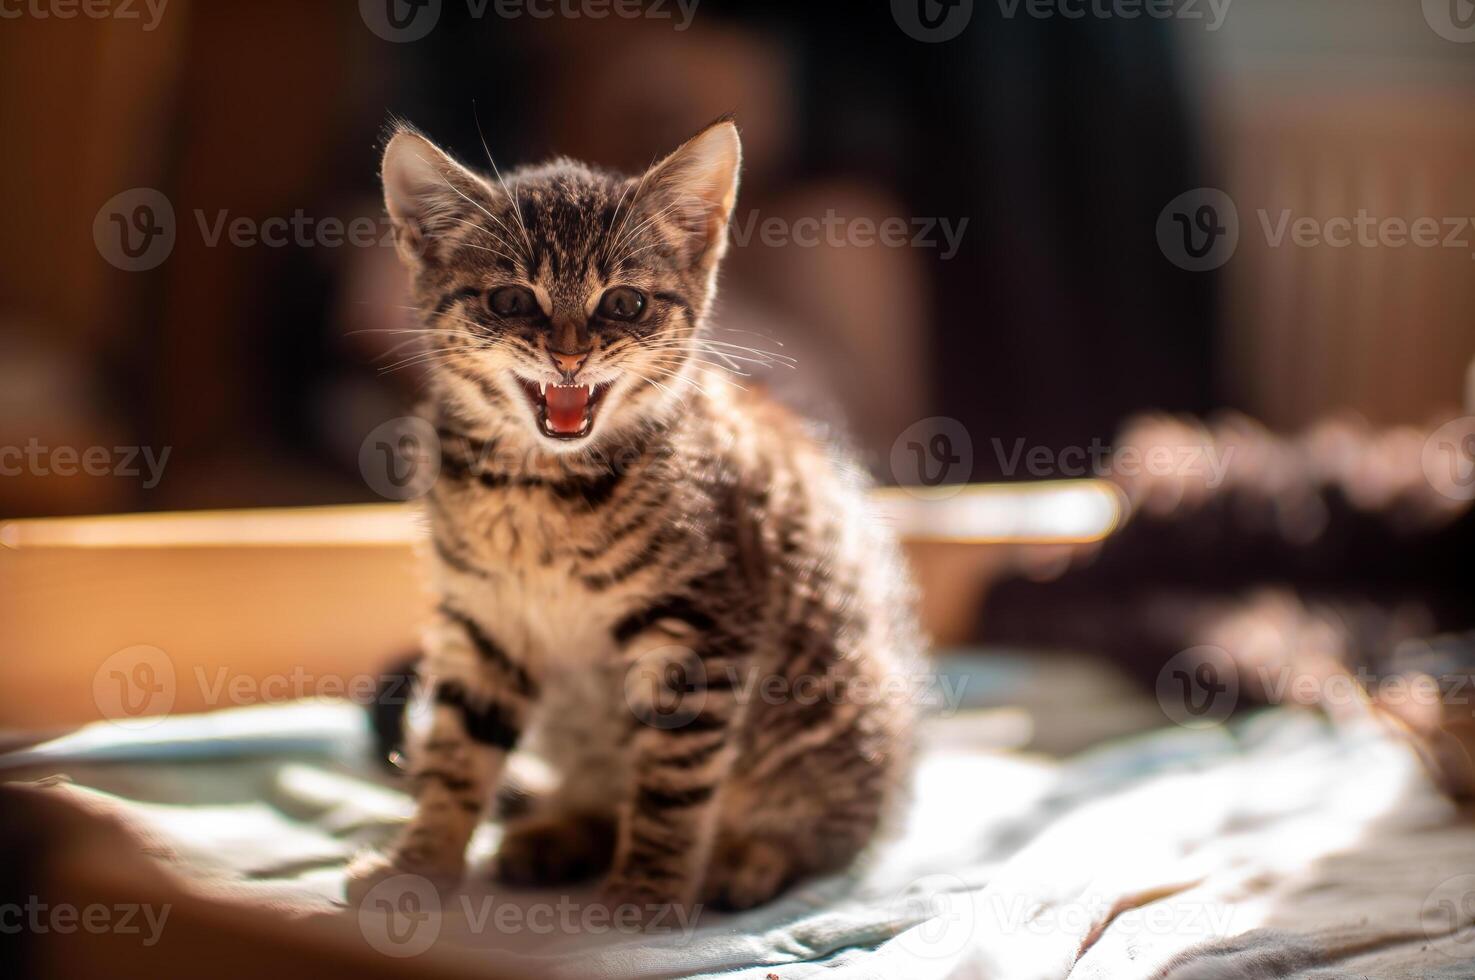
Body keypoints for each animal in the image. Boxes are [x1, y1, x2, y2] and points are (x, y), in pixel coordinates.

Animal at [345, 118, 920, 920]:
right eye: (508, 300)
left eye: (623, 304)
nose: (568, 356)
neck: (537, 487)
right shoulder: (484, 623)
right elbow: (456, 751)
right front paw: (419, 866)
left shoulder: (703, 631)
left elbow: (672, 785)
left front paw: (646, 891)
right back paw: (561, 833)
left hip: (839, 711)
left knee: (831, 835)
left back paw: (747, 857)